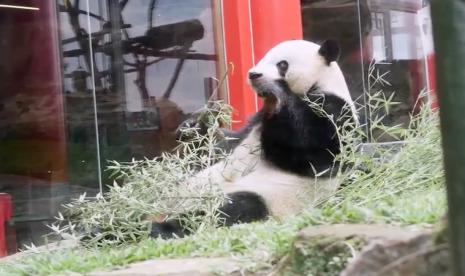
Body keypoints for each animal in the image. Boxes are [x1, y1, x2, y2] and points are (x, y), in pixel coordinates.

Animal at [150, 39, 358, 239]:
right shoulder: (254, 122)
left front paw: (277, 89)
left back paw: (162, 228)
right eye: (262, 58)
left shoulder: (334, 110)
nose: (253, 74)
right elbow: (223, 145)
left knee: (232, 207)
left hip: (268, 197)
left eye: (282, 64)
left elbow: (313, 155)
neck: (321, 83)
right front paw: (195, 127)